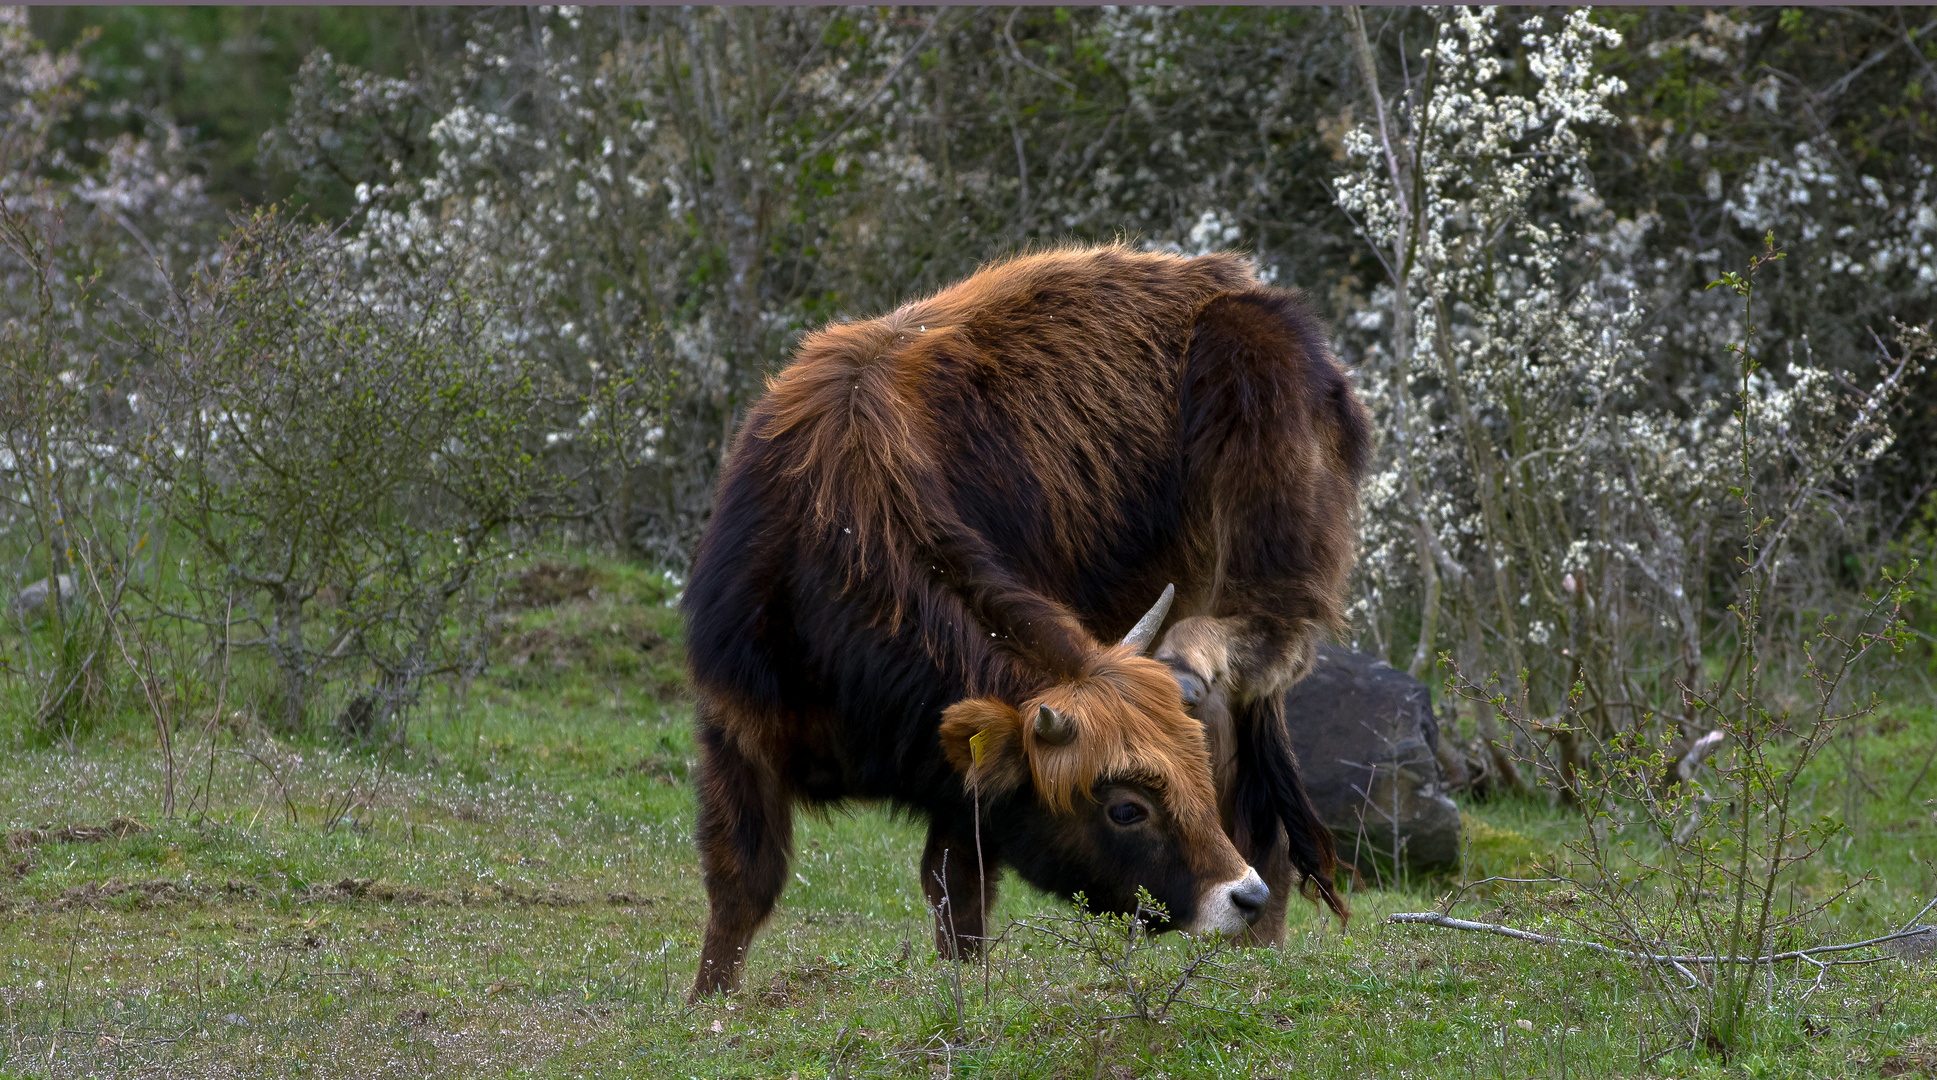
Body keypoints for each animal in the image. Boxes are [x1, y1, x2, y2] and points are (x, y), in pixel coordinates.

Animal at [681, 245, 1363, 998]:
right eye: (1125, 806)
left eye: (1193, 773)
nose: (1240, 898)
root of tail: (1233, 283)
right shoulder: (737, 726)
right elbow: (742, 883)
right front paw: (707, 1002)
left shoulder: (959, 791)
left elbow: (957, 896)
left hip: (1271, 538)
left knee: (1267, 676)